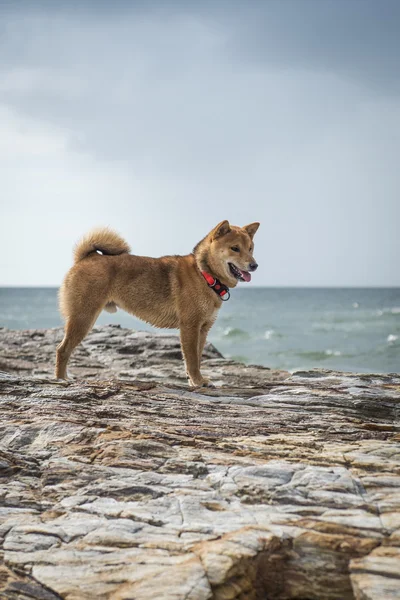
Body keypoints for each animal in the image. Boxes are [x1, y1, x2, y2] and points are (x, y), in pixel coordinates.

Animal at [55, 219, 260, 384]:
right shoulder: (190, 327)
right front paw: (198, 382)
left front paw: (195, 381)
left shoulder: (203, 329)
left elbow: (197, 358)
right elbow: (192, 360)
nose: (254, 265)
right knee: (62, 350)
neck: (204, 274)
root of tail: (87, 257)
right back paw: (61, 379)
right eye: (235, 248)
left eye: (250, 248)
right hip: (83, 317)